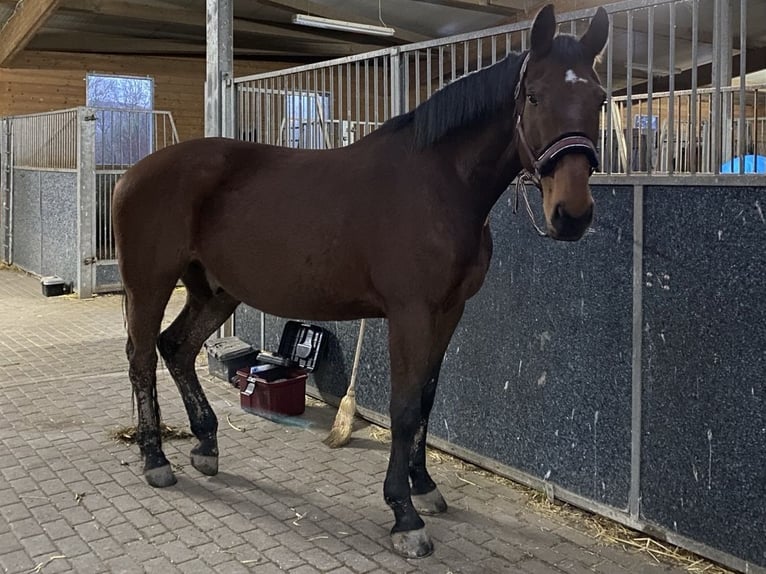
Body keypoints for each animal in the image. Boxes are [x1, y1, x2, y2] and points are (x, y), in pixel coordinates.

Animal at [111, 4, 608, 560]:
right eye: (534, 95)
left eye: (599, 98)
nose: (571, 215)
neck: (437, 183)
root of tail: (133, 173)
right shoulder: (410, 313)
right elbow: (404, 406)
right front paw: (404, 514)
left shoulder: (449, 311)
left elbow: (426, 397)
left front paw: (423, 486)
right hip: (149, 284)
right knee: (141, 358)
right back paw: (156, 459)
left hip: (216, 290)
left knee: (177, 347)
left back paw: (205, 445)